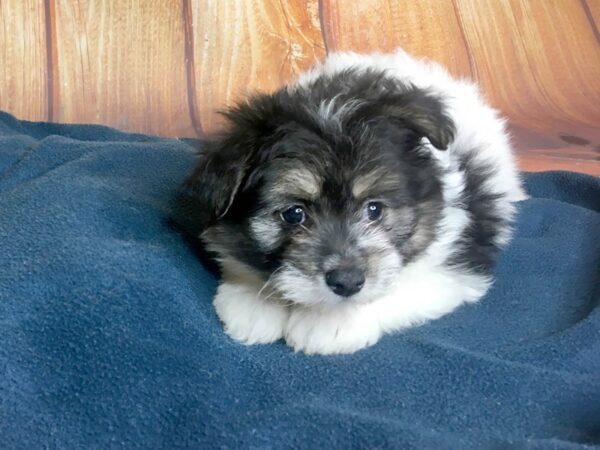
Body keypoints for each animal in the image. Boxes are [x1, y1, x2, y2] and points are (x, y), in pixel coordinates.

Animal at [184, 49, 524, 356]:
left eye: (374, 209)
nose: (347, 282)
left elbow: (399, 286)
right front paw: (254, 305)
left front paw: (329, 324)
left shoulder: (454, 268)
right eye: (294, 214)